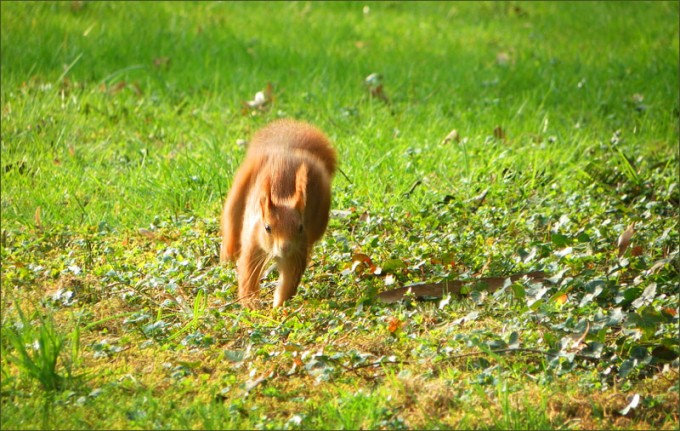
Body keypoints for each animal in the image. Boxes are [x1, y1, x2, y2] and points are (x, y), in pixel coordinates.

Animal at [220, 119, 337, 308]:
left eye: (300, 227)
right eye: (267, 227)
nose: (285, 247)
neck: (282, 197)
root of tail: (288, 150)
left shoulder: (297, 253)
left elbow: (288, 282)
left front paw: (278, 307)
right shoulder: (253, 245)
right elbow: (247, 277)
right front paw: (252, 304)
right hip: (237, 195)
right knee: (231, 227)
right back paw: (226, 258)